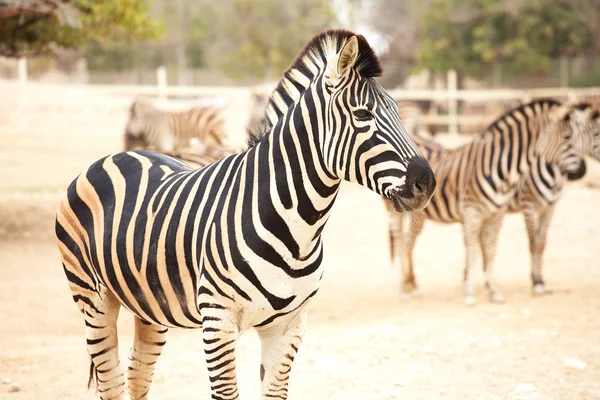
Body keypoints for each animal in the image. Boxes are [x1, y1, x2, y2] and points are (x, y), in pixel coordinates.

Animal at [56, 28, 436, 400]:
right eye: (362, 115)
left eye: (399, 112)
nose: (426, 183)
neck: (297, 228)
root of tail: (113, 157)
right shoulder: (217, 320)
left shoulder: (289, 324)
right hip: (93, 299)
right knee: (111, 381)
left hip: (148, 304)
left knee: (137, 375)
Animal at [384, 98, 600, 304]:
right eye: (567, 138)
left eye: (574, 137)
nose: (581, 171)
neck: (502, 167)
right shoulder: (517, 207)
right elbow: (482, 249)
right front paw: (471, 292)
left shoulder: (514, 212)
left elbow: (496, 250)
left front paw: (495, 291)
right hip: (396, 211)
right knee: (401, 241)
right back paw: (403, 288)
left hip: (419, 214)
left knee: (409, 243)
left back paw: (412, 285)